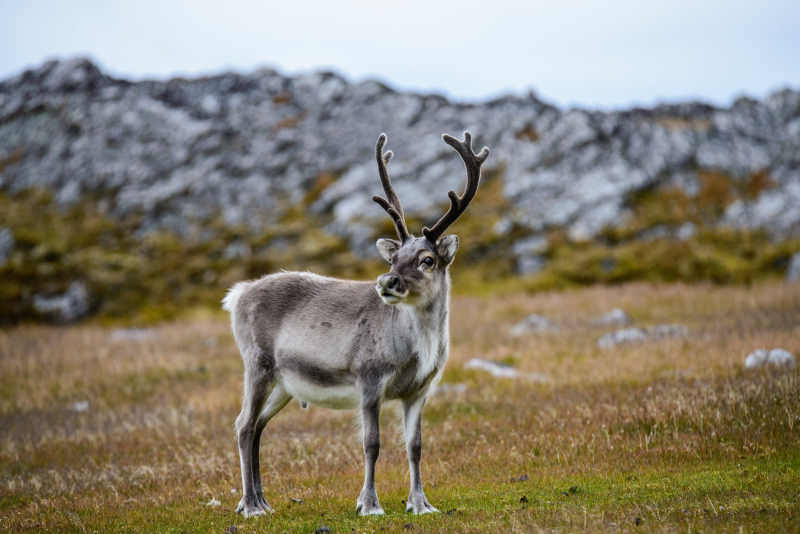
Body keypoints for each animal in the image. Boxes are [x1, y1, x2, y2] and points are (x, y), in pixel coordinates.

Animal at [222, 131, 489, 518]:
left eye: (427, 259)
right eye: (394, 258)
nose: (387, 282)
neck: (416, 350)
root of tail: (237, 294)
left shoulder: (419, 391)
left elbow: (415, 446)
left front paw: (421, 503)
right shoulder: (369, 378)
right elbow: (371, 443)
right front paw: (369, 504)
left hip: (284, 384)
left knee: (257, 426)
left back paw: (260, 501)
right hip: (257, 364)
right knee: (243, 425)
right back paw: (251, 506)